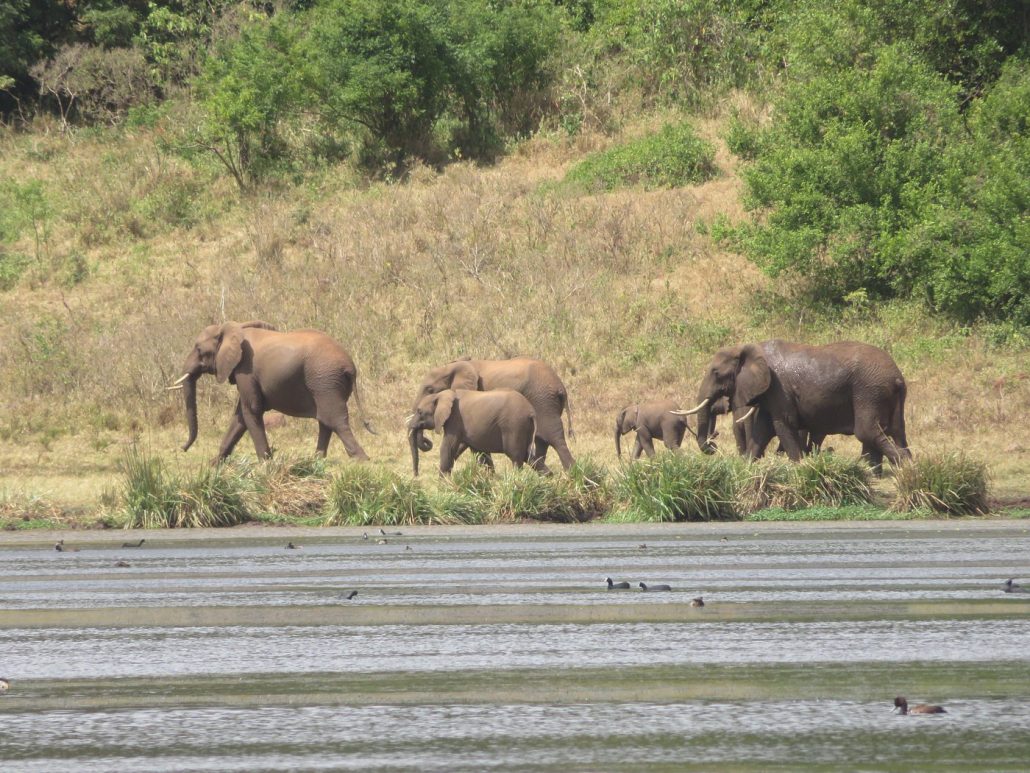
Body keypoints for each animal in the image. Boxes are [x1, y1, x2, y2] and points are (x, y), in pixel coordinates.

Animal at [168, 319, 374, 459]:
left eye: (199, 350)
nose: (182, 449)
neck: (233, 327)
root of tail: (350, 366)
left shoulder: (246, 369)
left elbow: (251, 410)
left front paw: (266, 463)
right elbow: (240, 416)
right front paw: (215, 466)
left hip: (325, 379)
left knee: (334, 419)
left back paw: (360, 460)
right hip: (327, 382)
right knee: (325, 420)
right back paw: (317, 461)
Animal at [405, 389, 535, 476]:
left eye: (420, 412)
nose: (416, 476)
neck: (441, 394)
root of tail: (530, 411)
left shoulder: (455, 420)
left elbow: (447, 448)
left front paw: (442, 485)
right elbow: (476, 452)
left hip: (514, 426)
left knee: (516, 457)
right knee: (530, 457)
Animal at [679, 344, 914, 476]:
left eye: (716, 373)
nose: (713, 447)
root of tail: (897, 377)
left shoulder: (778, 388)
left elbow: (783, 425)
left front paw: (798, 468)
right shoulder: (769, 392)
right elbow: (762, 430)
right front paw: (747, 468)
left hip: (868, 391)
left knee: (867, 431)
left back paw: (901, 467)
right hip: (885, 395)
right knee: (896, 432)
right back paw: (893, 470)